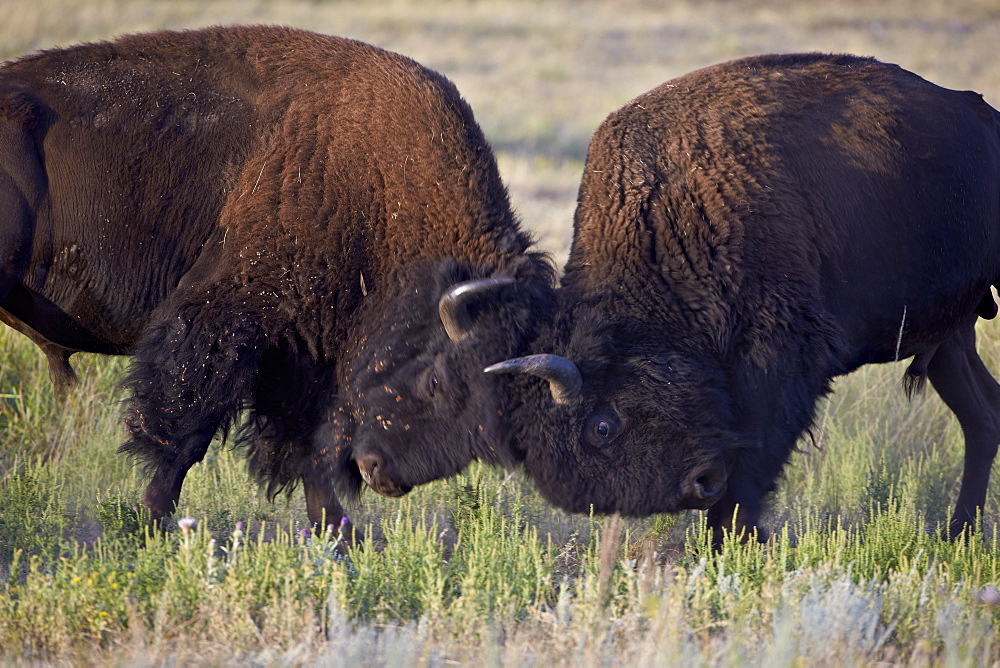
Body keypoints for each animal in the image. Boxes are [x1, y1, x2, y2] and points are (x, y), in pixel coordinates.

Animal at [0, 24, 556, 528]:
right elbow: (187, 429)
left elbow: (310, 446)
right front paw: (151, 522)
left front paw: (340, 539)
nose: (384, 474)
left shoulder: (304, 352)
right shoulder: (227, 316)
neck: (385, 186)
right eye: (437, 381)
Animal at [484, 52, 1000, 544]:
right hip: (951, 336)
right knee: (982, 416)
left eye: (602, 426)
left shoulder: (779, 360)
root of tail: (985, 117)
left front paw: (733, 539)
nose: (700, 484)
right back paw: (956, 535)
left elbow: (756, 456)